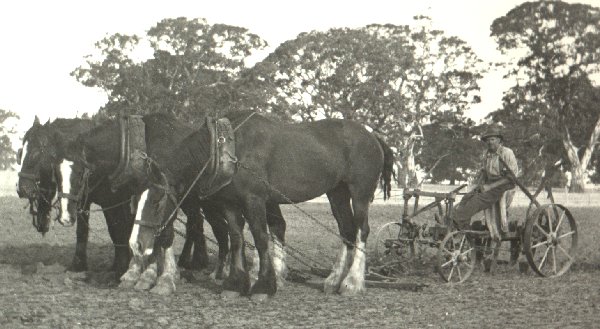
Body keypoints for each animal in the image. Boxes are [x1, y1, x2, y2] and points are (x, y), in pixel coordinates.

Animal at [17, 114, 223, 278]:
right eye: (21, 151)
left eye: (37, 152)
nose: (22, 188)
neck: (121, 153)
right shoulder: (93, 199)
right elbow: (93, 231)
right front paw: (82, 265)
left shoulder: (120, 201)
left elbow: (121, 230)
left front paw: (124, 266)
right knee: (195, 223)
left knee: (195, 222)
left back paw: (196, 261)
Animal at [131, 111, 394, 298]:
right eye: (135, 201)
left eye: (156, 201)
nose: (136, 245)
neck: (227, 149)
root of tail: (373, 136)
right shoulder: (230, 204)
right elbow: (237, 238)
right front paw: (235, 284)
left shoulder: (254, 199)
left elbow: (260, 238)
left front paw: (264, 287)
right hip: (336, 193)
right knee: (346, 230)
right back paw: (334, 280)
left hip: (359, 193)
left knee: (361, 230)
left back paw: (353, 282)